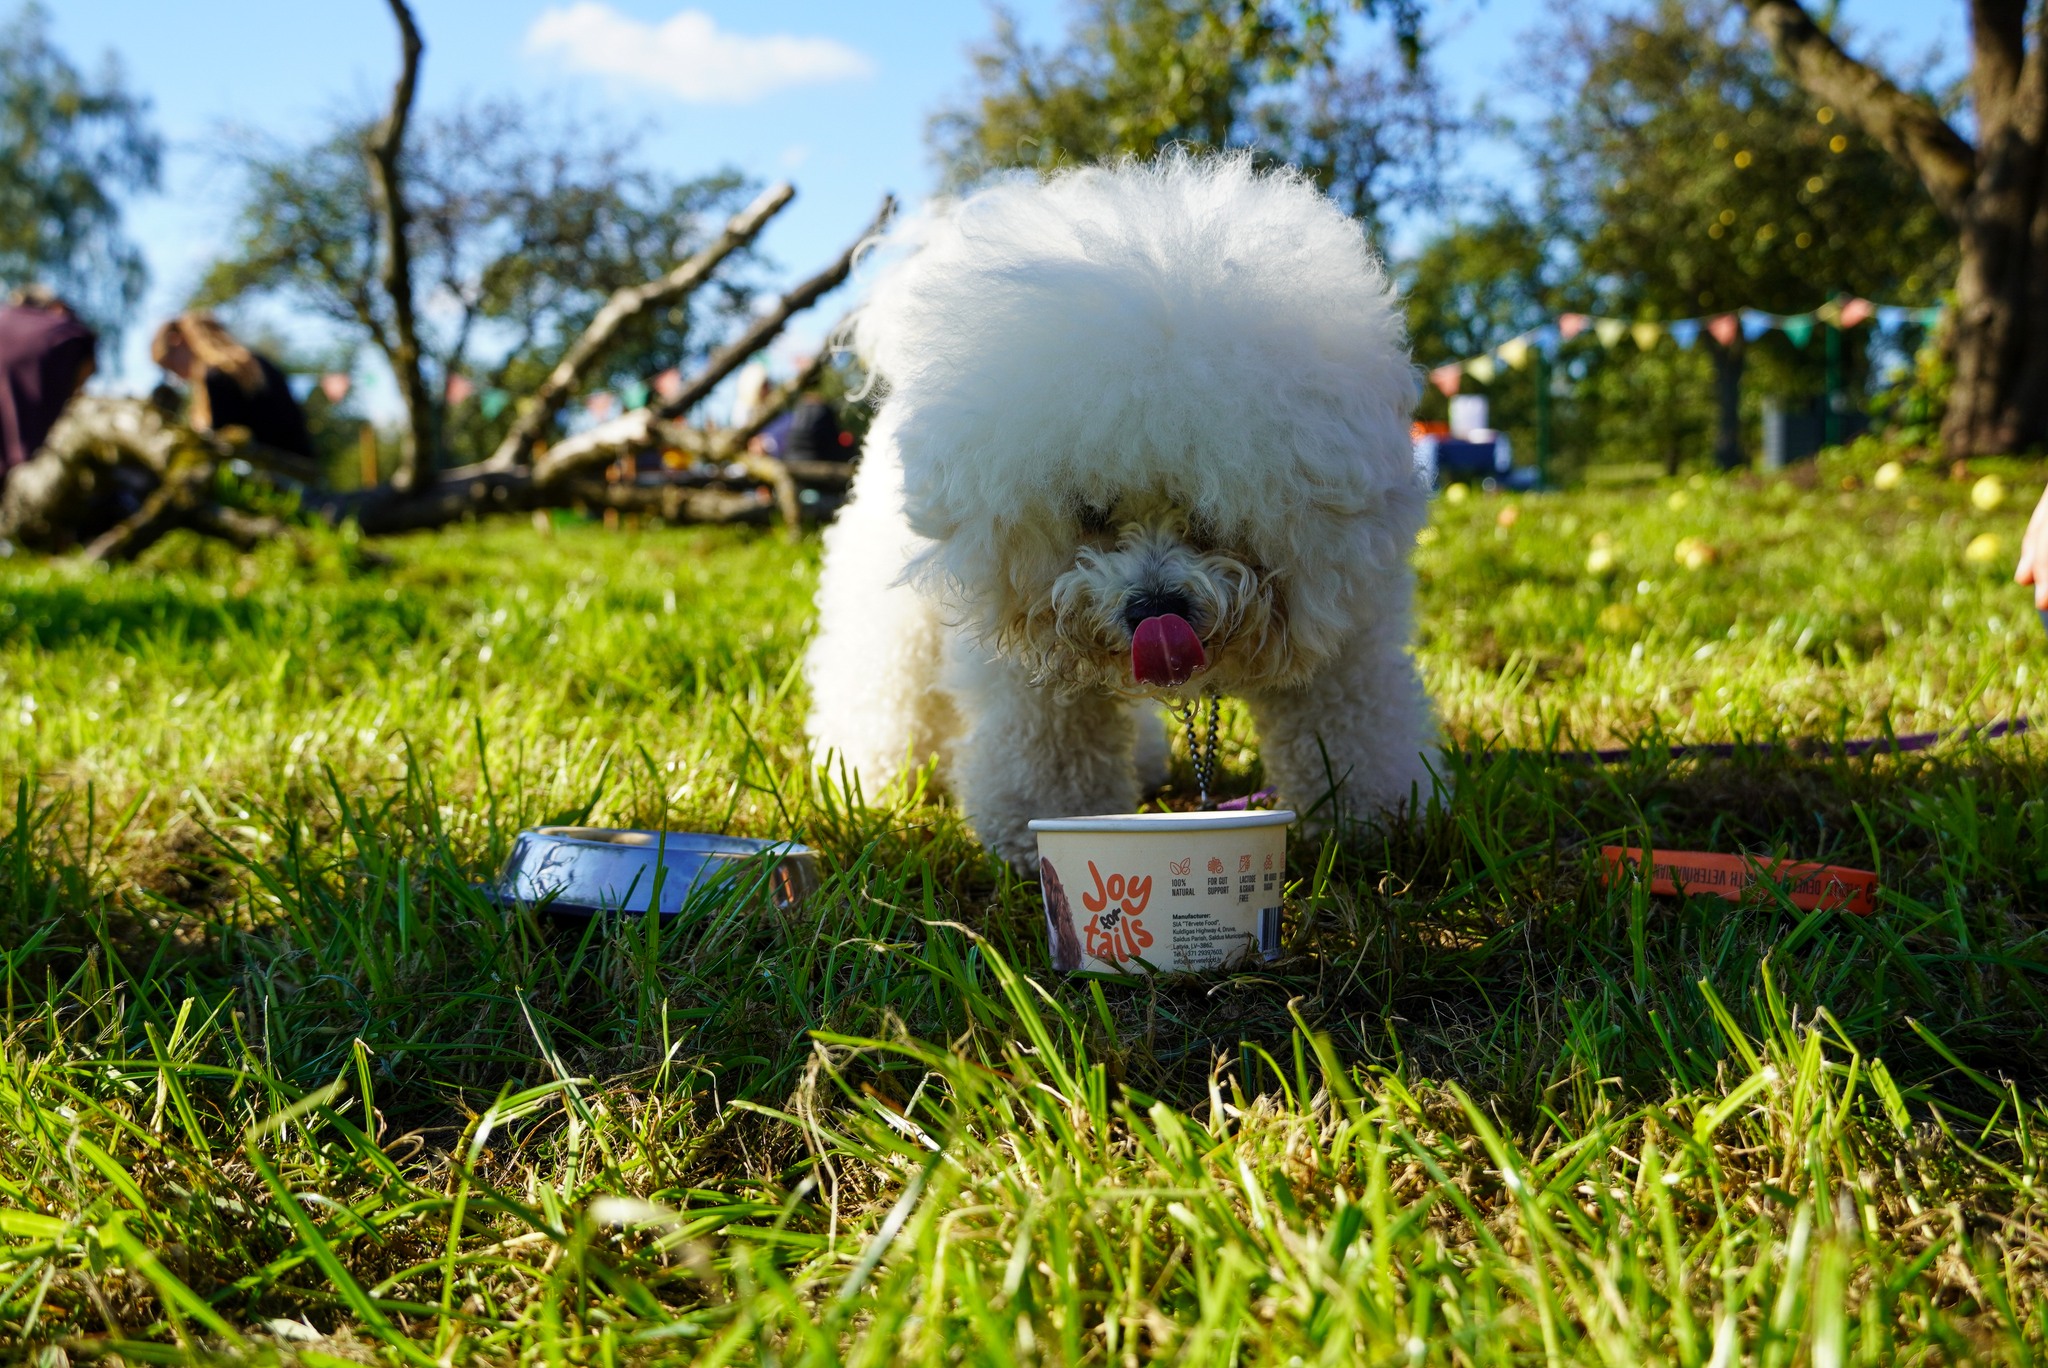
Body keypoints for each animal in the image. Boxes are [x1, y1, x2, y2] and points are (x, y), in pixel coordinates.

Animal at [802, 154, 1441, 864]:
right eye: (1092, 511)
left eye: (1212, 513)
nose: (1154, 608)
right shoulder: (1030, 659)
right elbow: (1050, 748)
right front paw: (1034, 832)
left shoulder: (1348, 625)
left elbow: (1351, 724)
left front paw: (1374, 820)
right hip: (887, 616)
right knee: (879, 684)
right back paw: (867, 776)